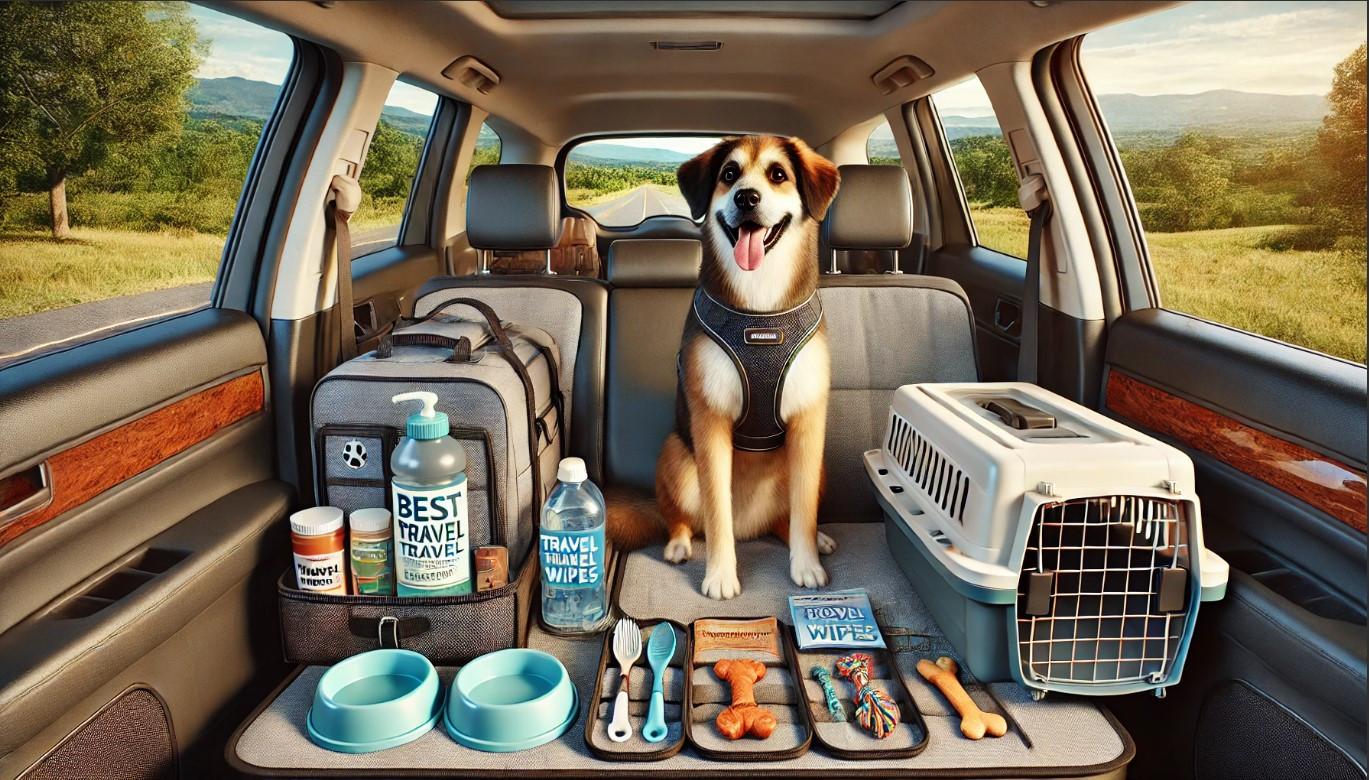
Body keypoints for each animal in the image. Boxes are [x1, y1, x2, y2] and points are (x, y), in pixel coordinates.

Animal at [613, 133, 843, 599]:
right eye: (729, 173)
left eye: (778, 174)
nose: (746, 197)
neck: (759, 308)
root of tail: (749, 526)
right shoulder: (710, 422)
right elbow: (716, 513)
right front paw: (720, 575)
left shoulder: (809, 423)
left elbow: (804, 512)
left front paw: (807, 564)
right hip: (676, 454)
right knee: (681, 517)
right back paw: (679, 544)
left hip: (817, 466)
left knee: (786, 519)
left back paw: (817, 539)